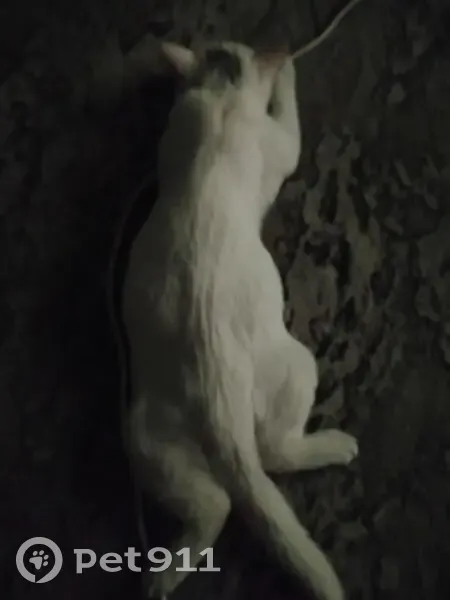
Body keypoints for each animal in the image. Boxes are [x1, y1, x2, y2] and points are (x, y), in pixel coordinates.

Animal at [120, 40, 358, 600]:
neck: (222, 99)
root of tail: (218, 398)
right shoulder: (282, 142)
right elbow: (288, 117)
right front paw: (286, 67)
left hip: (144, 440)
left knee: (217, 504)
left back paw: (164, 575)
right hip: (299, 365)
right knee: (274, 456)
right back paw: (337, 445)